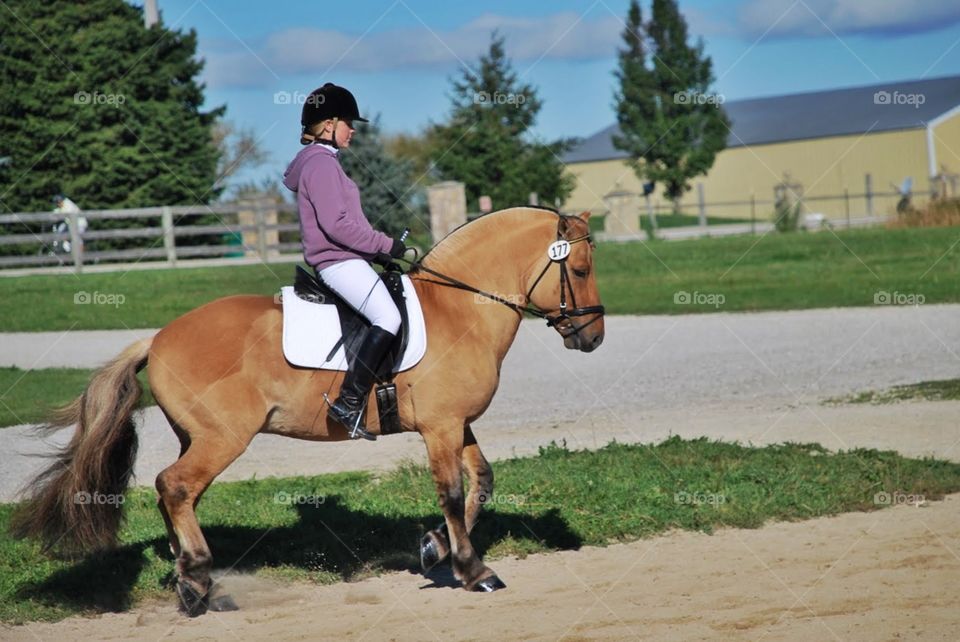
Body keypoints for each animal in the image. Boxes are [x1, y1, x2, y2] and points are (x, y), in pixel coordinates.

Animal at [11, 207, 605, 616]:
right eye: (578, 269)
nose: (594, 337)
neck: (461, 307)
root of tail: (157, 338)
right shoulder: (440, 429)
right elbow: (454, 493)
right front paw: (471, 567)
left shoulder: (457, 424)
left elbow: (482, 481)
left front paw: (433, 548)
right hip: (224, 437)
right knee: (175, 487)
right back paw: (199, 579)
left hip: (198, 437)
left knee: (172, 492)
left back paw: (193, 579)